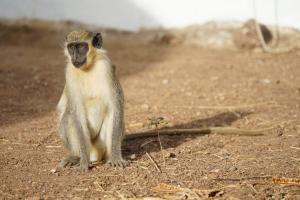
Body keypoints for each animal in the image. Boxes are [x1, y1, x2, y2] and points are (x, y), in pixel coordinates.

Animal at [56, 30, 126, 171]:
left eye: (81, 47)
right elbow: (76, 112)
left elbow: (116, 105)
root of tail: (94, 154)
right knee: (69, 117)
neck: (87, 68)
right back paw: (76, 157)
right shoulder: (69, 72)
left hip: (100, 144)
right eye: (71, 47)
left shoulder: (106, 67)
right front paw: (83, 162)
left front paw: (116, 157)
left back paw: (110, 157)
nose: (75, 57)